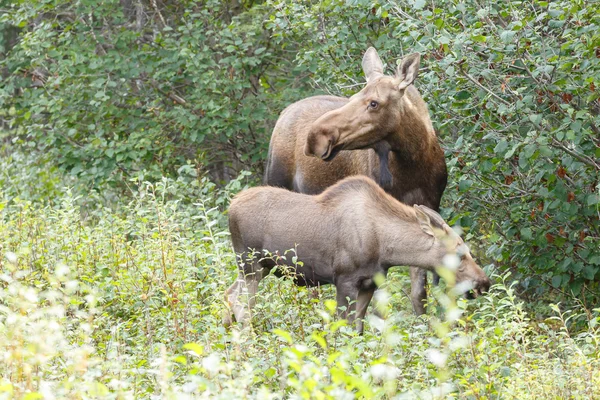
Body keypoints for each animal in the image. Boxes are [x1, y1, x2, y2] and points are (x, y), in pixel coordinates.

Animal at [223, 177, 490, 332]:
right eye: (460, 253)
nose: (484, 283)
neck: (385, 246)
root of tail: (231, 206)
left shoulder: (369, 283)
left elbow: (357, 329)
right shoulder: (345, 280)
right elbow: (343, 327)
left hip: (259, 268)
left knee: (229, 294)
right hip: (251, 265)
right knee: (241, 303)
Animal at [264, 47, 448, 316]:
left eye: (374, 103)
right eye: (352, 96)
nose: (315, 137)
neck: (414, 163)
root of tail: (283, 114)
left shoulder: (427, 208)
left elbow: (419, 293)